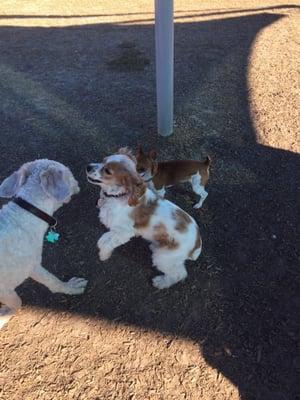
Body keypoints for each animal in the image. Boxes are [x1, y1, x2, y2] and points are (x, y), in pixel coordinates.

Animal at [0, 159, 88, 328]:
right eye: (69, 173)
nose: (78, 184)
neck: (26, 214)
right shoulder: (30, 267)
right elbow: (52, 282)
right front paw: (70, 287)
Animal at [86, 148, 202, 290]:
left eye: (107, 171)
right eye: (103, 160)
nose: (88, 167)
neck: (119, 196)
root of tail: (198, 242)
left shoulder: (124, 232)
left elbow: (106, 242)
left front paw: (104, 254)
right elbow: (106, 238)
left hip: (164, 257)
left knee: (178, 274)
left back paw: (161, 282)